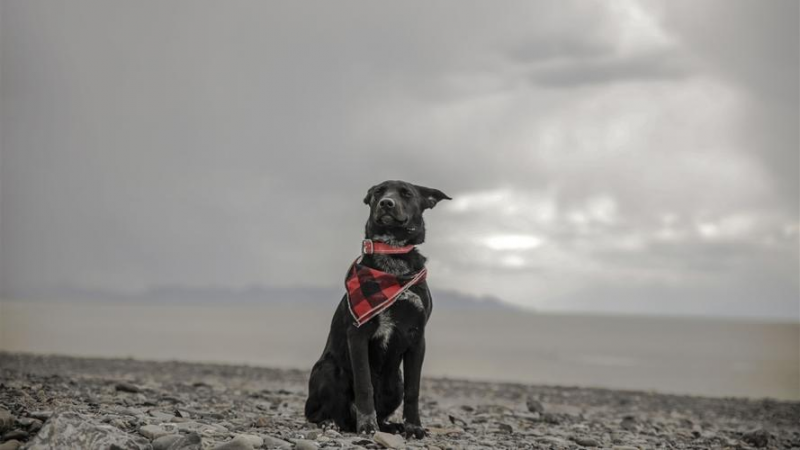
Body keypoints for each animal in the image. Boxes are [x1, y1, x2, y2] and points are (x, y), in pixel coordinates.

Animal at [304, 181, 450, 438]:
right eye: (379, 192)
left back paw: (391, 426)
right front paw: (367, 426)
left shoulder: (418, 337)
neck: (392, 255)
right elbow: (364, 385)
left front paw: (413, 427)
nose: (386, 203)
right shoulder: (358, 333)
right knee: (319, 413)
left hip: (395, 384)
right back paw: (331, 423)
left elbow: (414, 390)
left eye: (407, 193)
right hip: (328, 369)